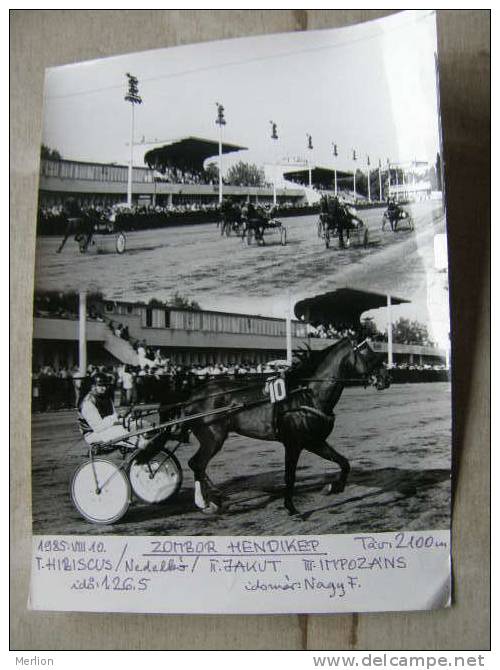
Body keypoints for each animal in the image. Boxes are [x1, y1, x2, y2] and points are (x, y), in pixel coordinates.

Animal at [183, 338, 386, 516]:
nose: (386, 377)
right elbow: (290, 476)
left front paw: (333, 487)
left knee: (199, 466)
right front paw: (291, 507)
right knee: (196, 464)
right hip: (213, 438)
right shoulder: (294, 443)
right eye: (366, 353)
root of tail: (193, 396)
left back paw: (214, 497)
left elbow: (344, 463)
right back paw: (204, 502)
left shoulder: (314, 441)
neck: (307, 395)